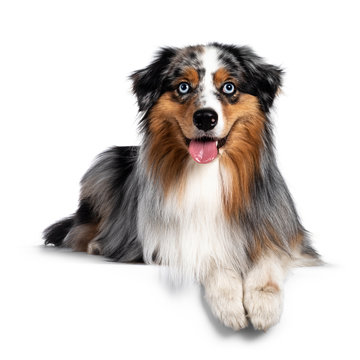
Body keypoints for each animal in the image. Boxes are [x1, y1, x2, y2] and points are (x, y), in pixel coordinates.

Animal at [43, 43, 320, 330]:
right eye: (184, 87)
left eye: (229, 87)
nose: (206, 118)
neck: (207, 171)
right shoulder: (173, 243)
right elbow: (211, 257)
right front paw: (229, 304)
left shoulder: (283, 232)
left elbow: (270, 258)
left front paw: (264, 304)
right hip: (105, 166)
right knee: (80, 230)